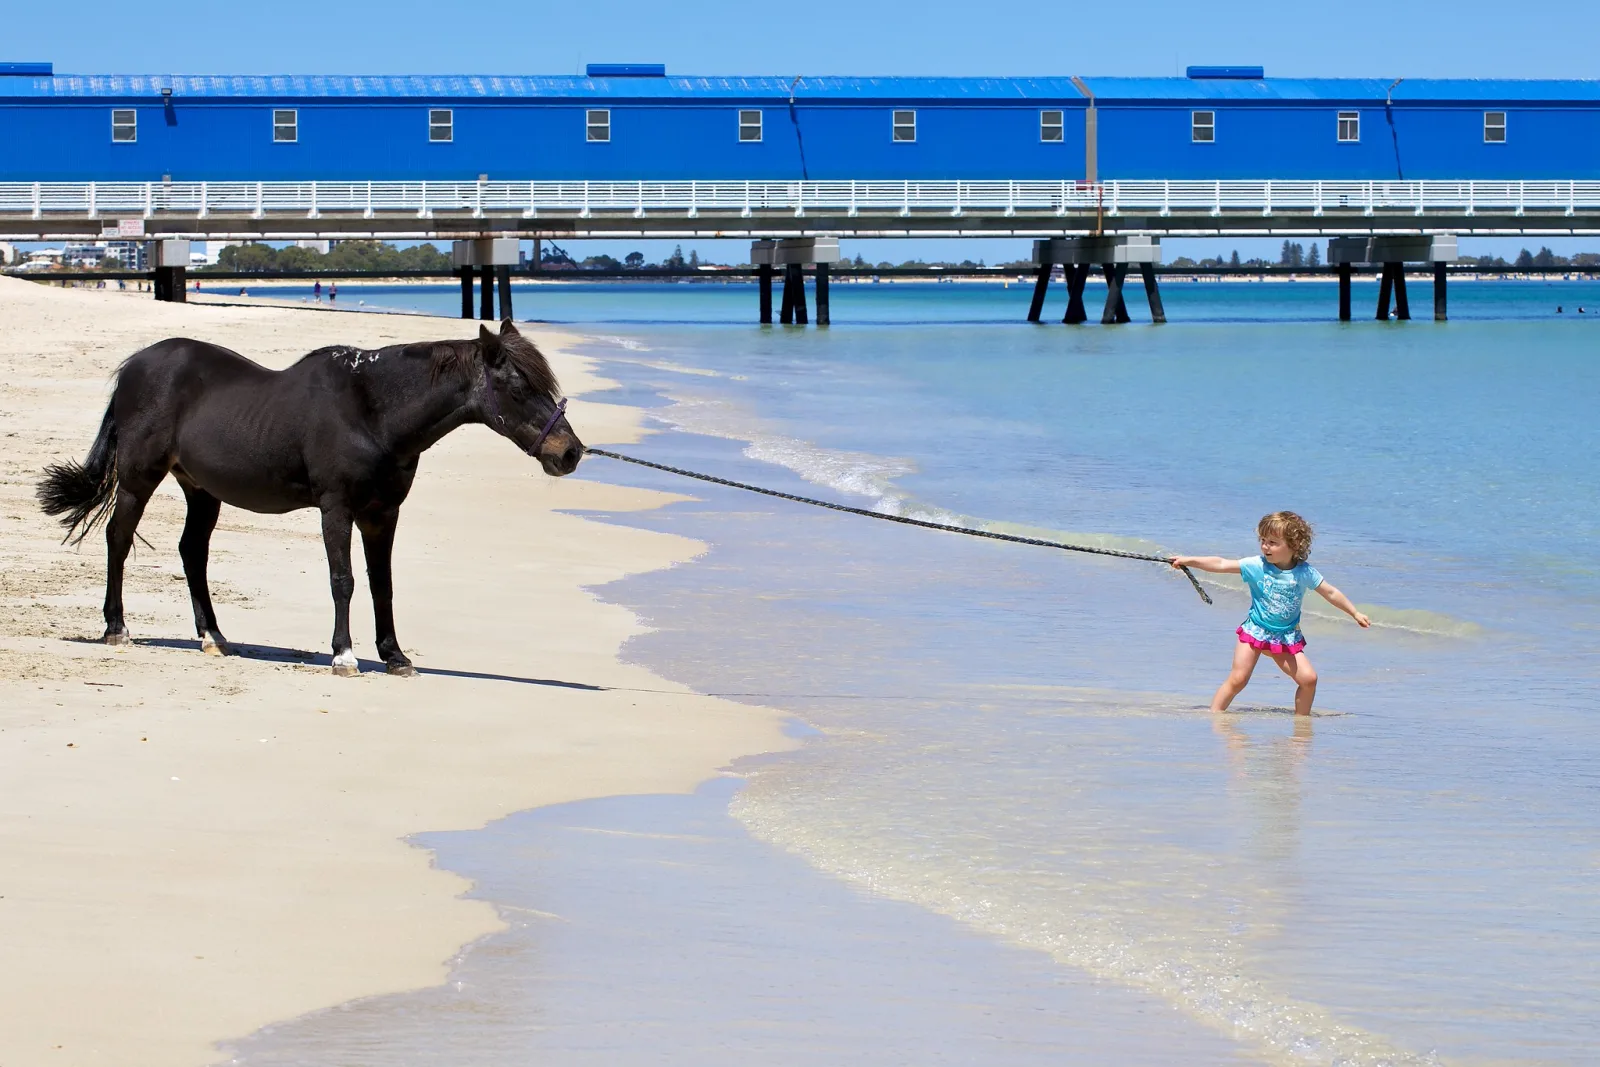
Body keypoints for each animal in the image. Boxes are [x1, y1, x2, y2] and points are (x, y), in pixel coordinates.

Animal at [37, 319, 583, 677]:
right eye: (518, 387)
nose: (570, 452)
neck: (372, 412)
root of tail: (136, 365)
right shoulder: (336, 507)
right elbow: (343, 580)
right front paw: (344, 655)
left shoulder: (382, 514)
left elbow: (382, 585)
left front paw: (395, 656)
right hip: (138, 478)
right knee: (118, 538)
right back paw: (116, 628)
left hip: (201, 489)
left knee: (192, 552)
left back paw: (214, 638)